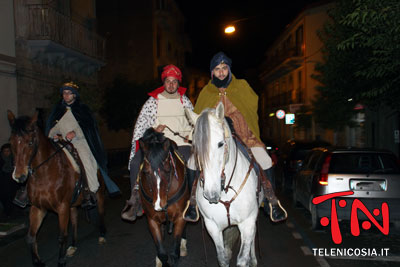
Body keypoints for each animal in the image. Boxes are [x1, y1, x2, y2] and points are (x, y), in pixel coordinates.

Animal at [7, 111, 106, 267]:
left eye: (30, 142)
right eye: (11, 143)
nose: (19, 177)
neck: (45, 174)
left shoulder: (62, 207)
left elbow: (61, 236)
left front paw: (61, 261)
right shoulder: (38, 208)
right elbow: (30, 237)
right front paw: (38, 262)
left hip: (99, 194)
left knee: (101, 212)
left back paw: (102, 235)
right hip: (73, 204)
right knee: (75, 221)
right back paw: (73, 245)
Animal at [138, 129, 190, 266]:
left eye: (167, 170)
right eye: (145, 171)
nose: (158, 205)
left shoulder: (180, 217)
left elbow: (174, 253)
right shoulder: (152, 220)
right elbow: (162, 252)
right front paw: (160, 258)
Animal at [185, 103, 262, 267]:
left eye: (221, 144)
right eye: (195, 146)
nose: (211, 194)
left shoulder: (247, 223)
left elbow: (243, 258)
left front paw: (249, 259)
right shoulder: (213, 226)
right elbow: (222, 257)